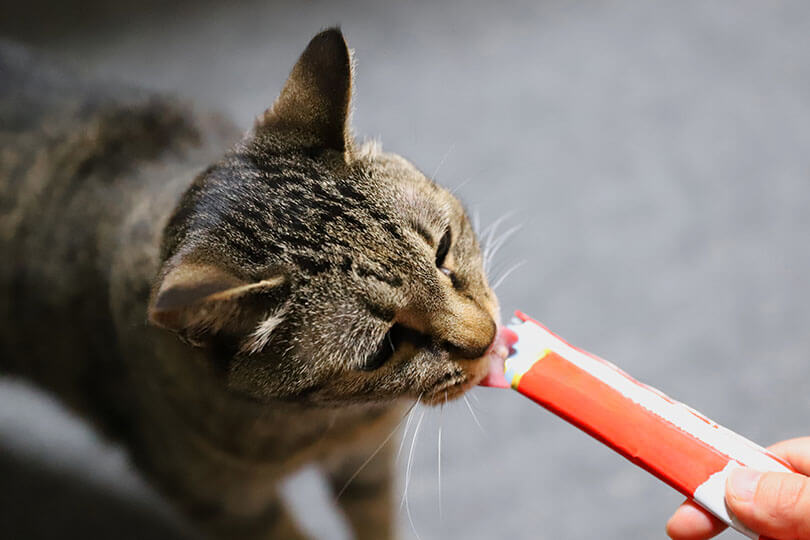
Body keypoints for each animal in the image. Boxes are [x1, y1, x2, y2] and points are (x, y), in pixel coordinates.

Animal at [0, 29, 504, 540]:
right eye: (382, 348)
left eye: (443, 248)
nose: (488, 339)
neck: (329, 426)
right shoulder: (229, 506)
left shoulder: (367, 462)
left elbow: (374, 522)